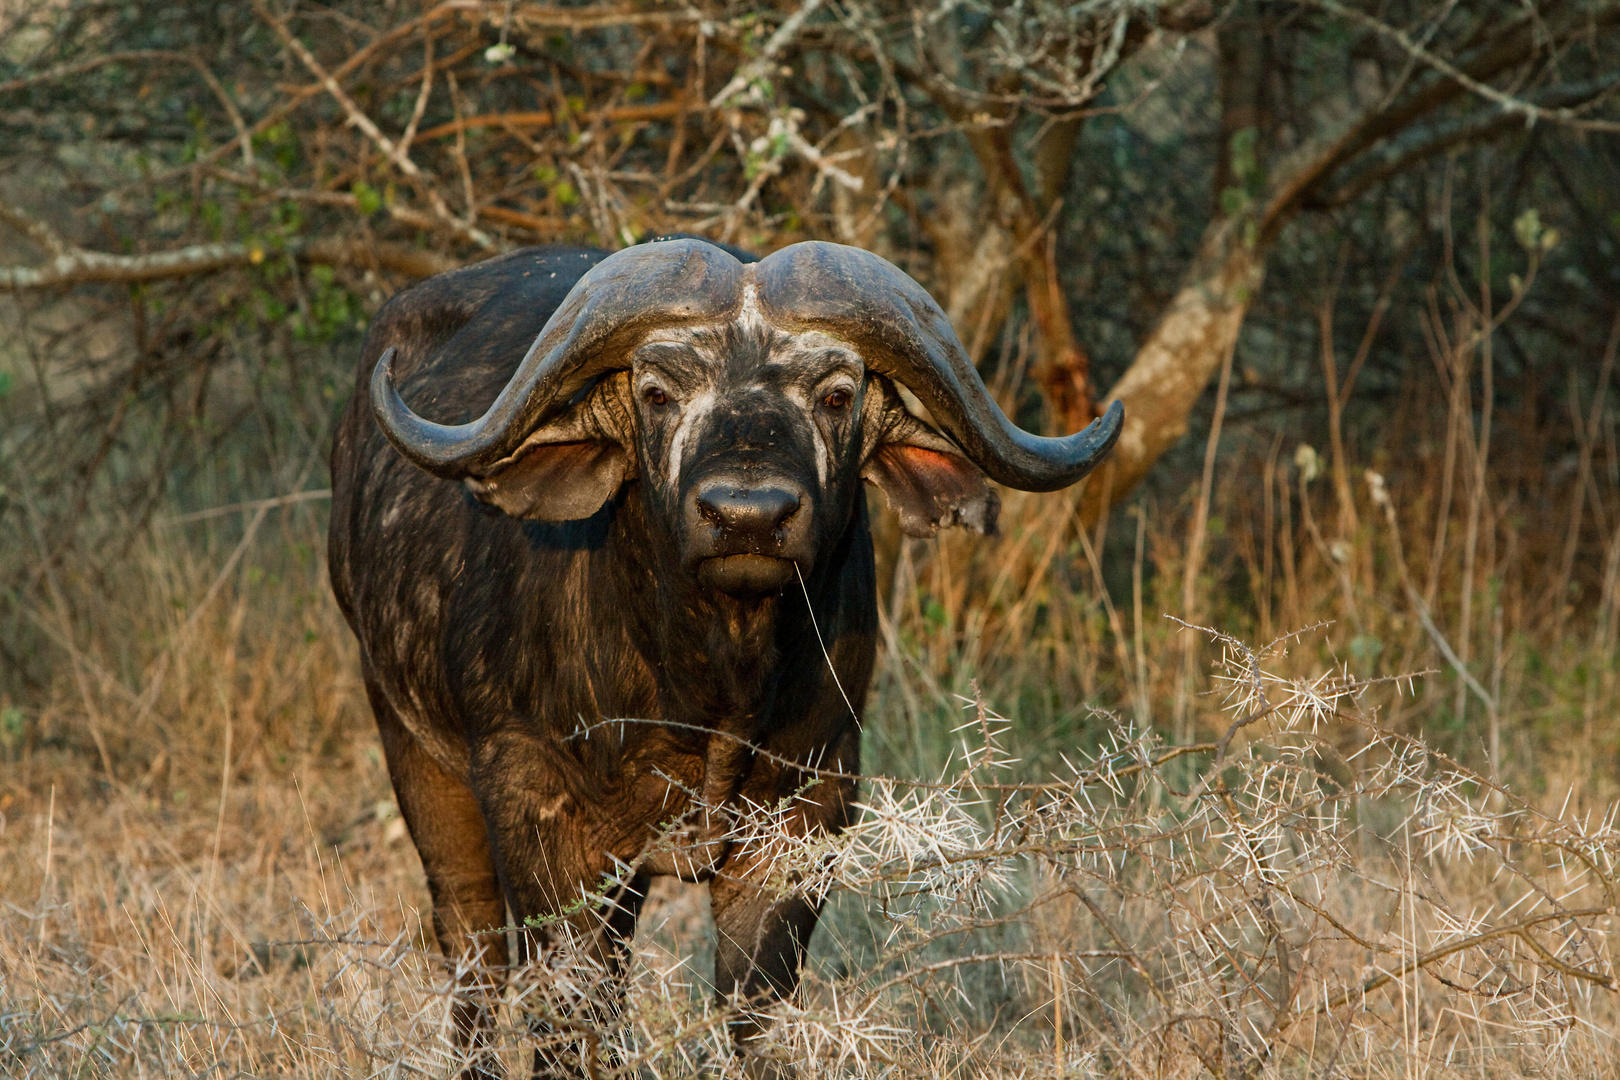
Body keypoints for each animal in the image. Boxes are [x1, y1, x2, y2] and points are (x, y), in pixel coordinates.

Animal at [324, 236, 1121, 1075]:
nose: (747, 517)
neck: (709, 694)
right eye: (656, 393)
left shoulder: (806, 815)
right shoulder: (536, 811)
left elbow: (753, 1011)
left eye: (837, 395)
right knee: (475, 948)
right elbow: (567, 1015)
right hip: (413, 750)